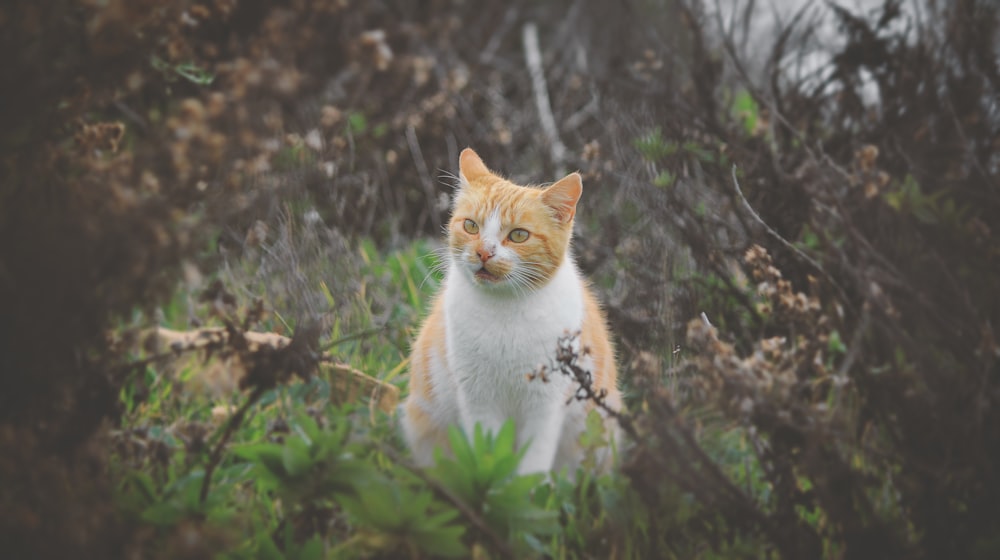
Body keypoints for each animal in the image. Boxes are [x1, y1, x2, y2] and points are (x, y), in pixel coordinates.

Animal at [400, 148, 620, 472]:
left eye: (518, 235)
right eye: (471, 226)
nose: (483, 252)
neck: (504, 312)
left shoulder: (545, 404)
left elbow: (533, 465)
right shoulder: (478, 399)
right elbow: (489, 451)